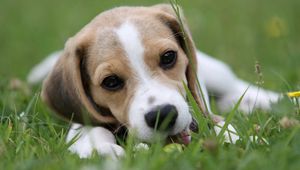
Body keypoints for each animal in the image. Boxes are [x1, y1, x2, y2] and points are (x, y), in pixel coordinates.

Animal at [27, 3, 278, 158]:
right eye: (110, 81)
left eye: (168, 57)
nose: (163, 115)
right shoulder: (82, 122)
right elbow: (93, 132)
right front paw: (106, 150)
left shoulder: (204, 115)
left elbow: (222, 128)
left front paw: (237, 140)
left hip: (216, 72)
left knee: (235, 86)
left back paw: (269, 100)